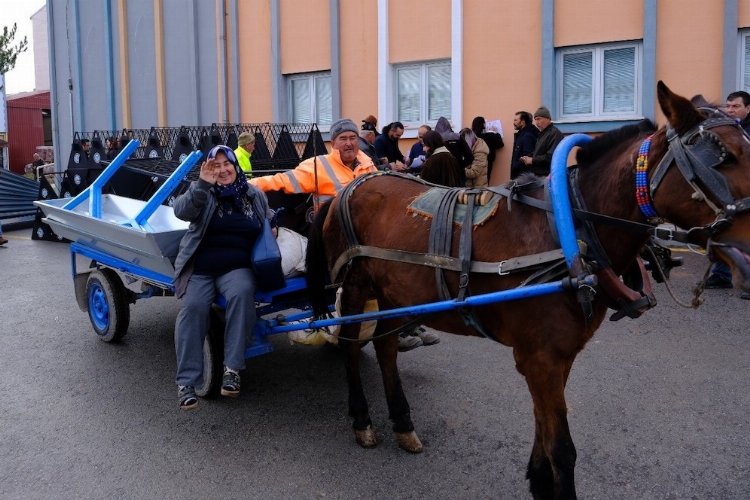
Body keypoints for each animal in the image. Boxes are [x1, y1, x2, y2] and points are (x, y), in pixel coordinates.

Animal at [304, 84, 750, 498]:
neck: (568, 231)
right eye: (721, 157)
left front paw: (538, 480)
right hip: (356, 286)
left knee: (386, 347)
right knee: (351, 346)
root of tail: (348, 189)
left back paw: (402, 422)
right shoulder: (541, 358)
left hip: (394, 292)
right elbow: (564, 449)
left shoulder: (557, 357)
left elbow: (544, 429)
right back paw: (362, 419)